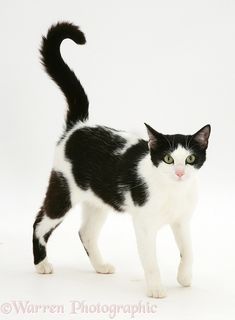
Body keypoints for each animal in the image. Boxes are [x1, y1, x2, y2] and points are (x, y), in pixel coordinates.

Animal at [32, 21, 211, 298]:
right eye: (168, 159)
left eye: (191, 158)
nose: (180, 172)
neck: (173, 191)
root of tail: (79, 125)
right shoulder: (144, 226)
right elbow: (150, 260)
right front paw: (156, 288)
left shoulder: (182, 221)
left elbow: (189, 251)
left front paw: (184, 277)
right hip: (63, 189)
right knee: (40, 223)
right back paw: (42, 264)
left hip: (97, 201)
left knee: (85, 232)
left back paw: (100, 266)